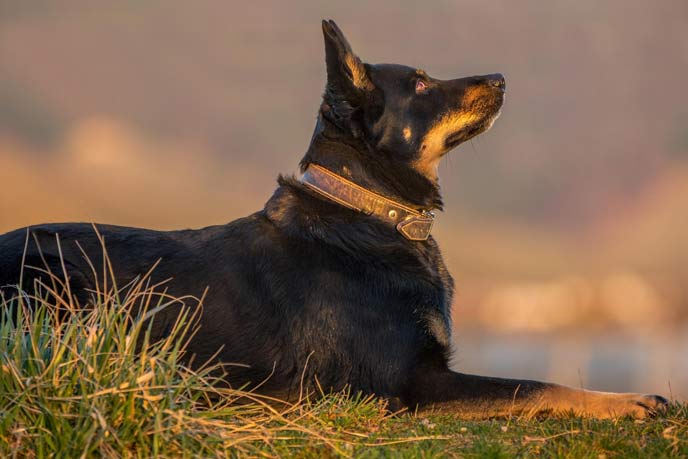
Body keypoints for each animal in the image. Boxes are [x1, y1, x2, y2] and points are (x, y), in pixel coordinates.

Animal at [0, 19, 668, 418]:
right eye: (420, 83)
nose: (502, 77)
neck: (369, 213)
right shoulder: (410, 384)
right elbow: (535, 384)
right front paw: (628, 400)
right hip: (56, 282)